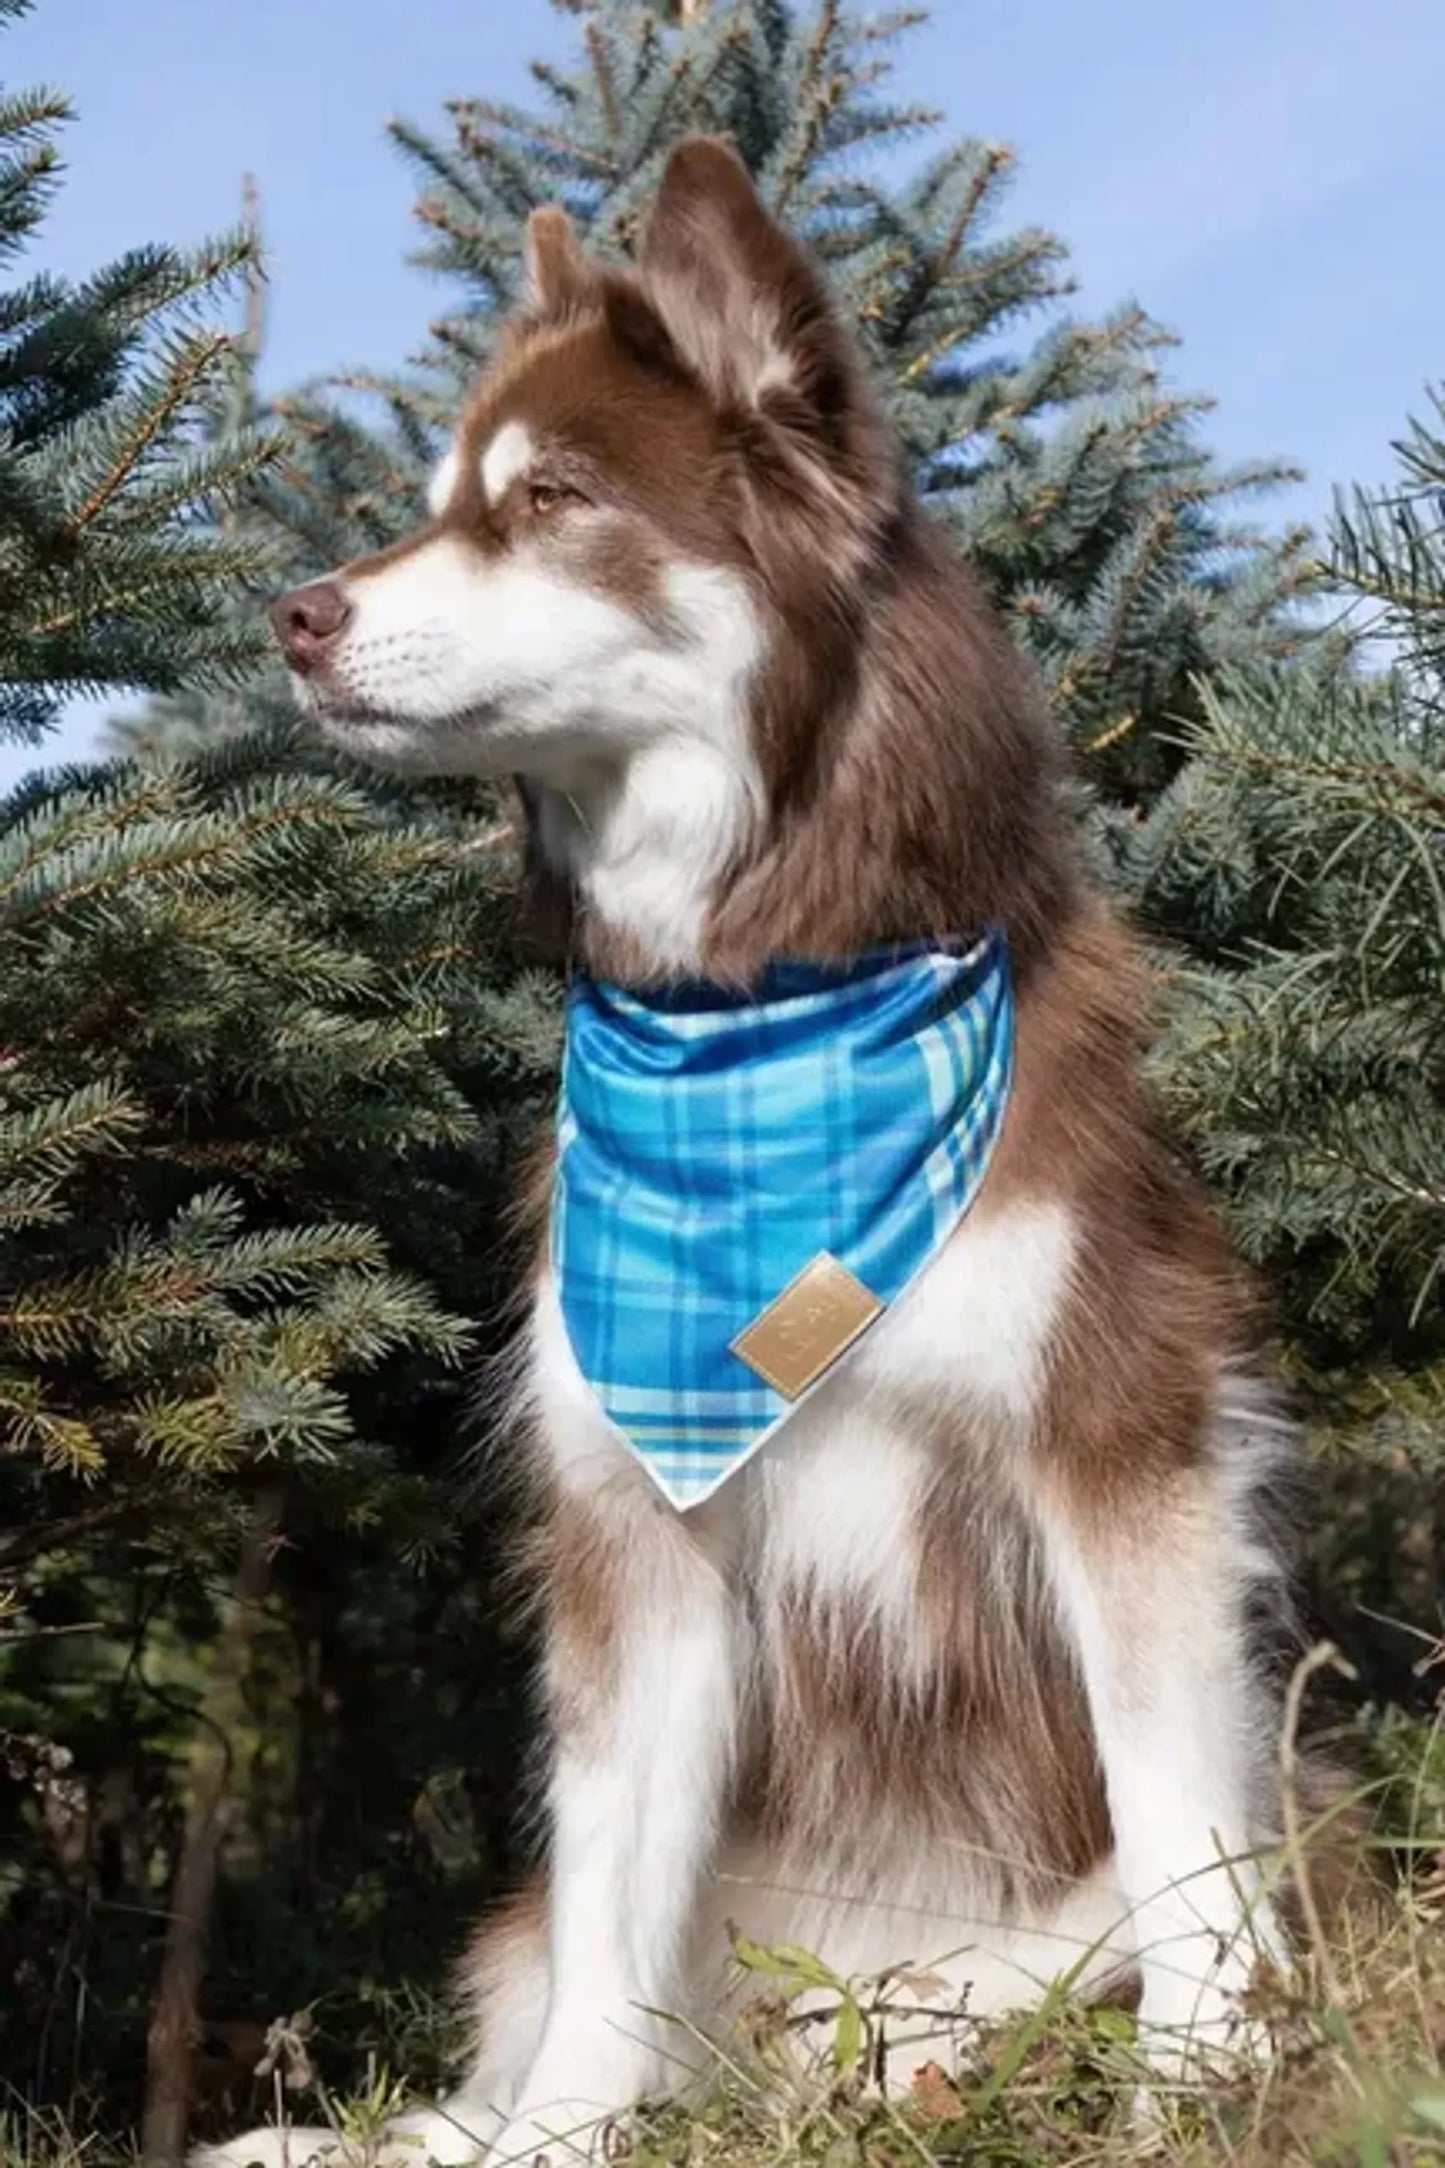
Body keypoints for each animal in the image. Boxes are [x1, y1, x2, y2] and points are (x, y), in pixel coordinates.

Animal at [231, 139, 1291, 2168]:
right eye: (437, 506)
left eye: (550, 499)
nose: (293, 615)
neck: (766, 1009)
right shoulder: (629, 1524)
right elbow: (607, 1922)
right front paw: (554, 2138)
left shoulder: (1119, 1442)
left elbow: (1179, 1810)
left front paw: (1205, 2084)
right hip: (560, 1933)